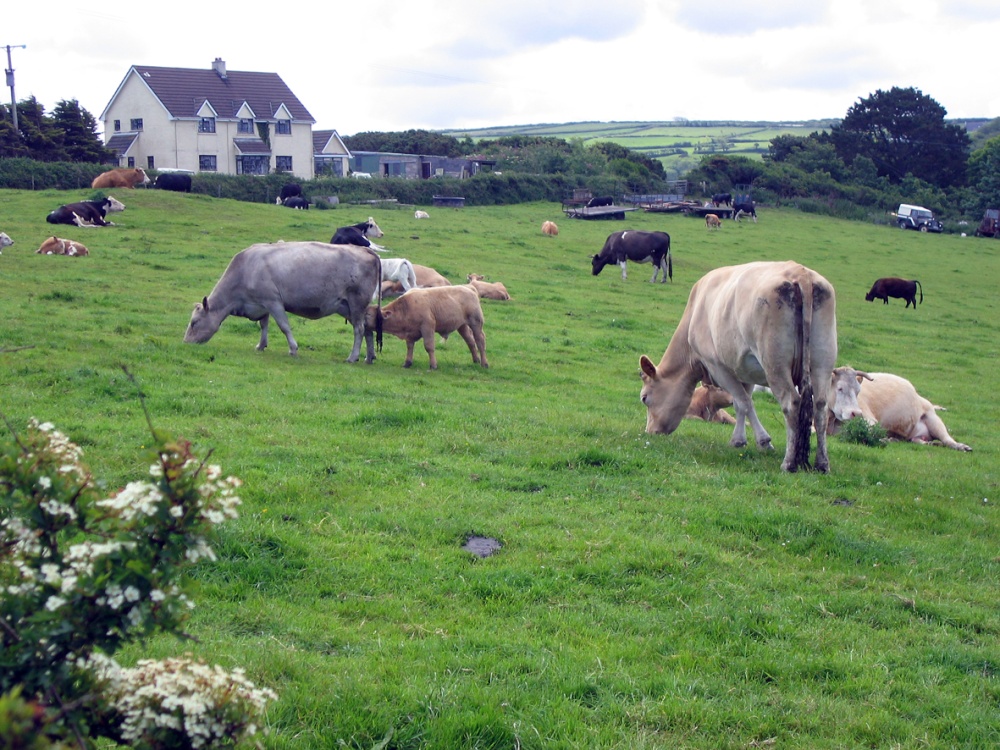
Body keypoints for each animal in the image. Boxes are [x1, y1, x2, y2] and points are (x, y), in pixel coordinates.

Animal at [184, 242, 383, 364]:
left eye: (194, 323)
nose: (185, 342)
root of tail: (366, 250)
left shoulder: (273, 301)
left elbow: (284, 326)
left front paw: (293, 349)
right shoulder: (260, 304)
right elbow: (263, 325)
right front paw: (261, 345)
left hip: (356, 302)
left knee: (359, 329)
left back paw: (352, 357)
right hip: (347, 306)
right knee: (368, 329)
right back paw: (369, 357)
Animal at [639, 261, 838, 473]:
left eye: (645, 398)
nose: (650, 431)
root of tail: (800, 274)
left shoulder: (717, 365)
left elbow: (743, 402)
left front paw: (757, 441)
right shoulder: (745, 368)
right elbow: (743, 402)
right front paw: (745, 440)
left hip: (775, 364)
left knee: (791, 403)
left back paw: (789, 463)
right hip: (822, 361)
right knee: (820, 406)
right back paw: (822, 463)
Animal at [827, 369, 970, 451]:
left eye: (858, 391)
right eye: (840, 388)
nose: (856, 413)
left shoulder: (869, 419)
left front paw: (887, 439)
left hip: (932, 418)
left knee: (947, 439)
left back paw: (962, 446)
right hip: (916, 437)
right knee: (920, 441)